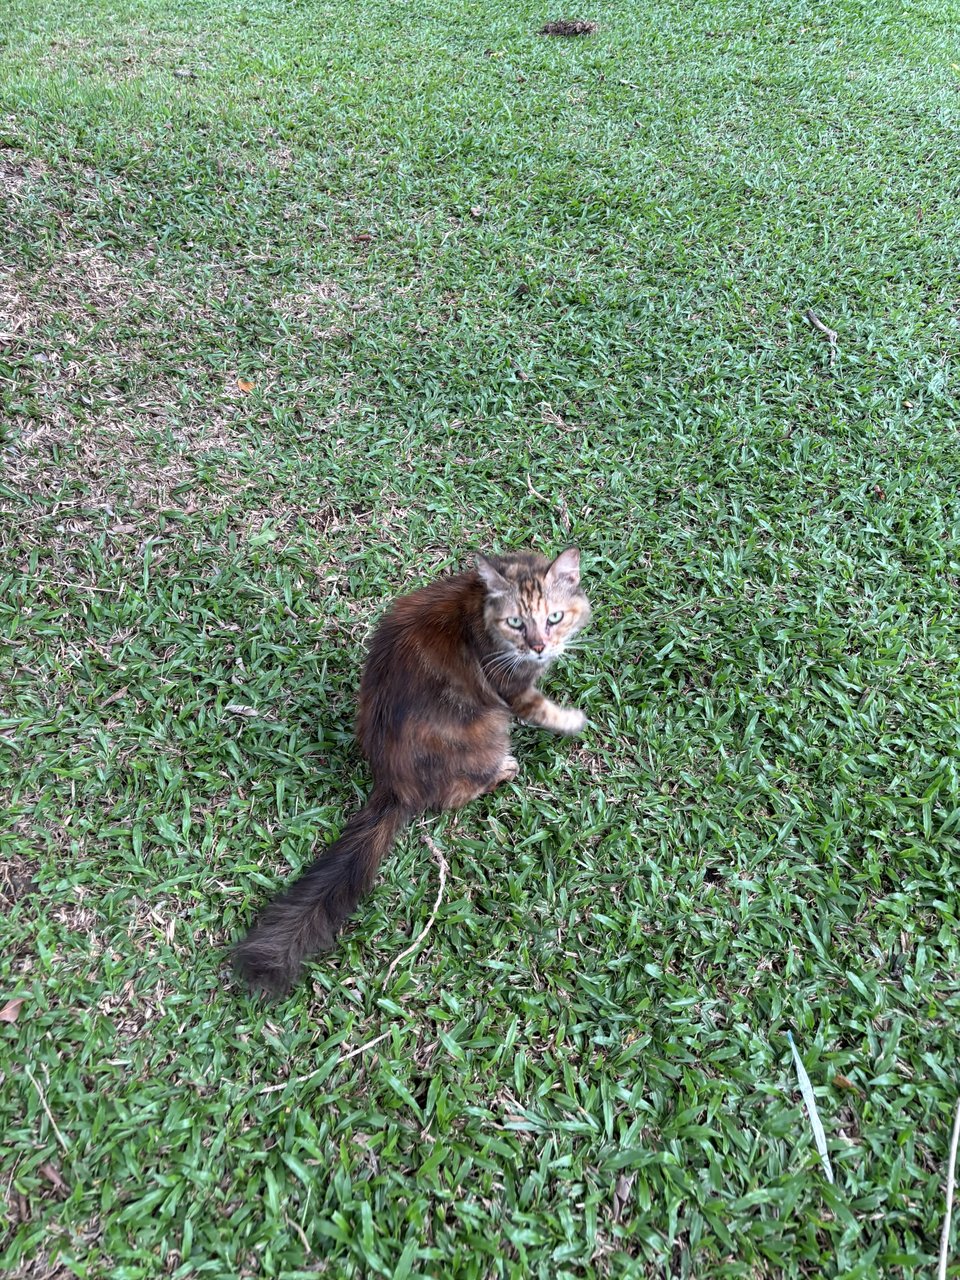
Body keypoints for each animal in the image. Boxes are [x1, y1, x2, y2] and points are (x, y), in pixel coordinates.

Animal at [235, 545, 591, 993]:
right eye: (516, 623)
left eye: (554, 617)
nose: (540, 647)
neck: (480, 605)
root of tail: (392, 781)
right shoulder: (510, 688)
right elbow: (541, 708)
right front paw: (573, 720)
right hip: (489, 728)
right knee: (456, 793)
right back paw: (503, 770)